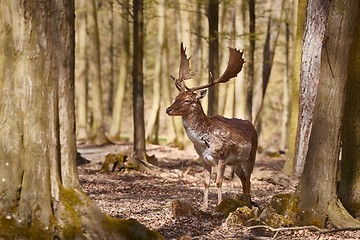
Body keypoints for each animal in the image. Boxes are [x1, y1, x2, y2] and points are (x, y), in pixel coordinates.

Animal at [167, 42, 258, 210]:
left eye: (187, 100)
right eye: (176, 97)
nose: (168, 109)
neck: (205, 142)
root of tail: (251, 124)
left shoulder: (222, 157)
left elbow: (219, 182)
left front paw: (219, 206)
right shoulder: (204, 159)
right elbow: (205, 182)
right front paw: (204, 207)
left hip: (251, 155)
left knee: (249, 177)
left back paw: (249, 203)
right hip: (235, 162)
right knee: (243, 177)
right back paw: (244, 200)